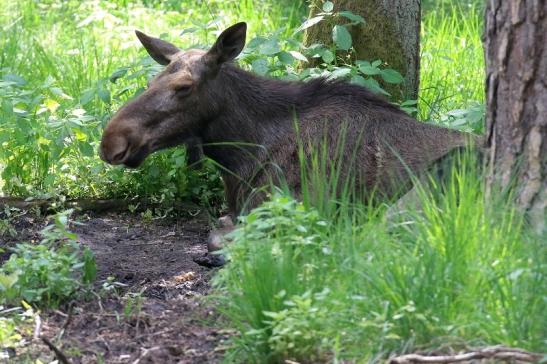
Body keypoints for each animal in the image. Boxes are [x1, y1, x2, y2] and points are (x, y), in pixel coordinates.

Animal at [100, 22, 478, 266]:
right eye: (152, 81)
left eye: (183, 87)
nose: (111, 141)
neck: (241, 159)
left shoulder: (295, 206)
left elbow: (220, 235)